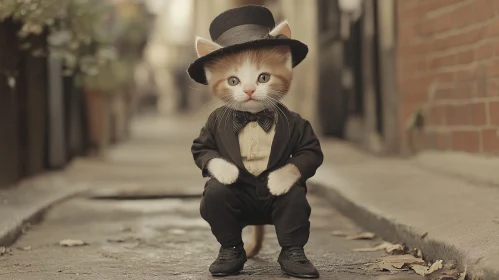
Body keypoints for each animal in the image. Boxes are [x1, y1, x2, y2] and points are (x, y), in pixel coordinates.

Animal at [194, 21, 300, 258]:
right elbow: (204, 152)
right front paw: (228, 172)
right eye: (233, 81)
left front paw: (278, 181)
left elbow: (305, 157)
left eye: (264, 78)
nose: (249, 90)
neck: (253, 117)